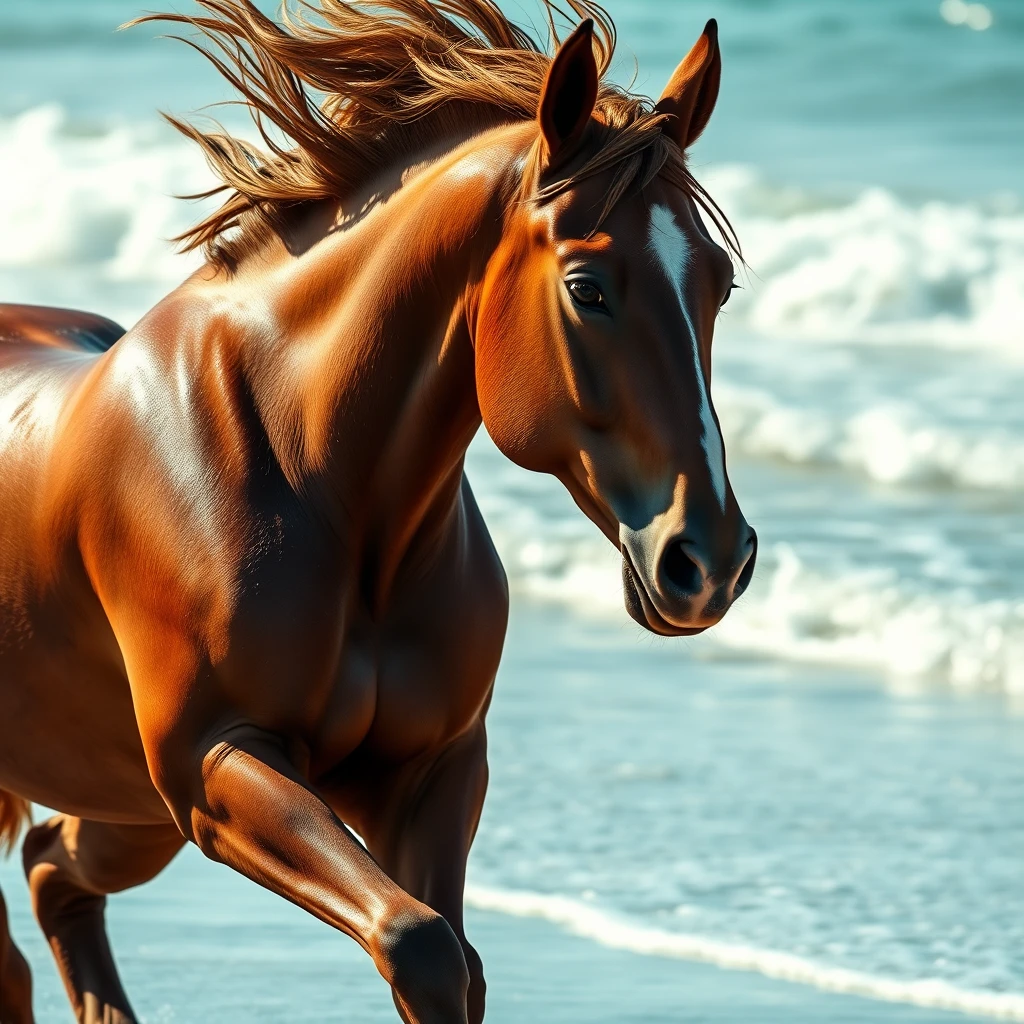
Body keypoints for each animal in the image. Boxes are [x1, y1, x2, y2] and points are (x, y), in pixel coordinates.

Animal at [0, 4, 753, 1019]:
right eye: (587, 288)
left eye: (720, 284)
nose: (708, 561)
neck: (317, 475)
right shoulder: (215, 762)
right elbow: (421, 944)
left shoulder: (429, 773)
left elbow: (456, 964)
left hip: (125, 801)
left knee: (51, 870)